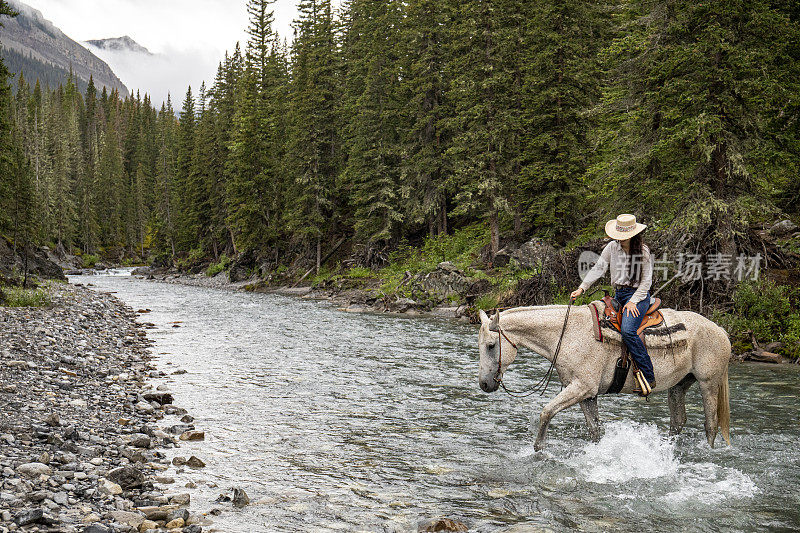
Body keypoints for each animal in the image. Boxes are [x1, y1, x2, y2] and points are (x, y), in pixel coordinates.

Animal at [476, 304, 732, 448]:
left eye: (491, 345)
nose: (485, 384)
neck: (569, 334)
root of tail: (720, 330)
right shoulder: (586, 394)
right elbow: (594, 430)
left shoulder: (581, 388)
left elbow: (546, 412)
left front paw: (539, 449)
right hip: (679, 385)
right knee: (678, 422)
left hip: (709, 383)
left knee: (711, 425)